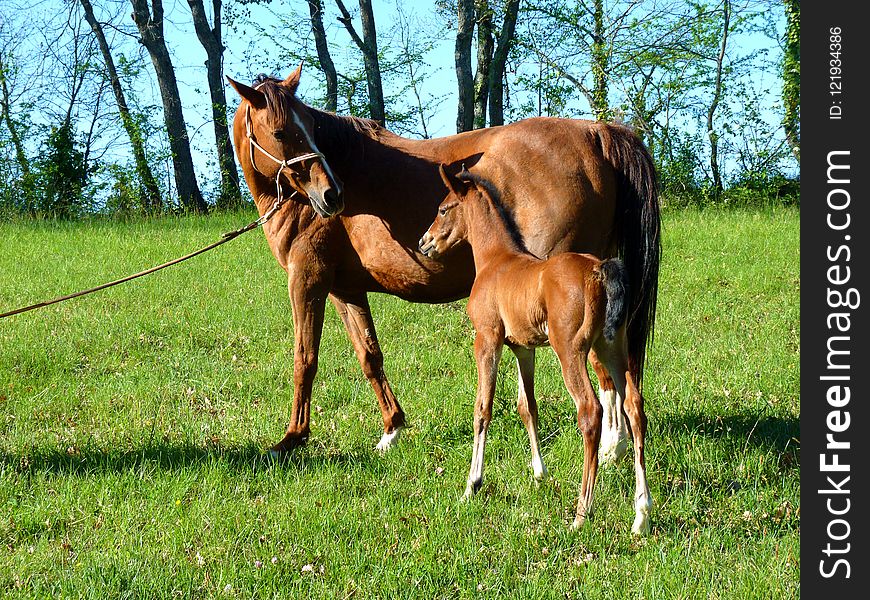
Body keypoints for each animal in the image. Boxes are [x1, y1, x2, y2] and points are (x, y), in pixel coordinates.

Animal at [422, 165, 656, 536]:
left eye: (444, 208)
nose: (424, 242)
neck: (496, 260)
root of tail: (598, 270)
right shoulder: (523, 348)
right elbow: (527, 407)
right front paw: (538, 473)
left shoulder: (486, 339)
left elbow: (482, 408)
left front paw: (472, 485)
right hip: (611, 348)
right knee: (634, 407)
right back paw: (641, 515)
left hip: (570, 351)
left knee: (590, 410)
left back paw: (581, 513)